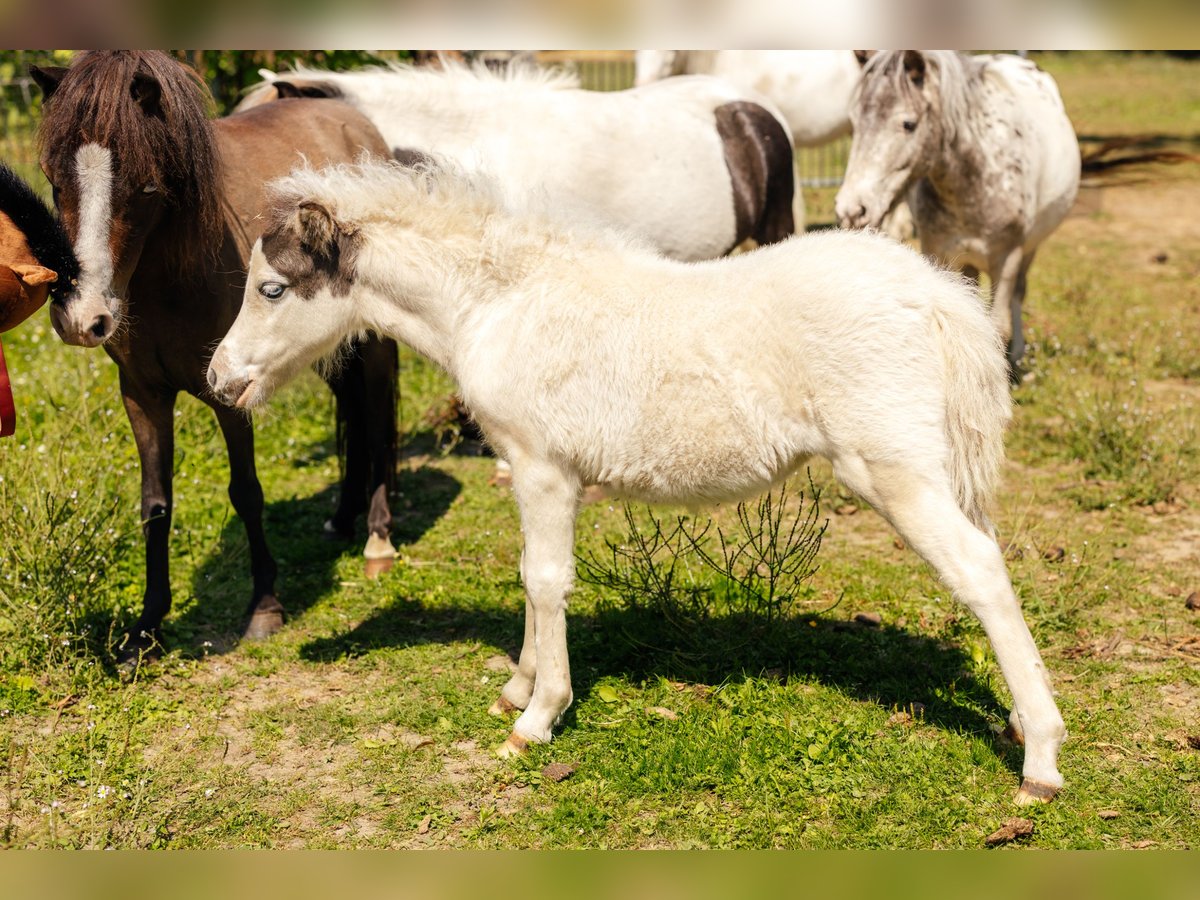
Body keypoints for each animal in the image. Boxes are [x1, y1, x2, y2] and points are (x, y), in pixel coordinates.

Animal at [32, 51, 398, 660]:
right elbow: (155, 505)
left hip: (371, 342)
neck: (167, 276)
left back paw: (377, 537)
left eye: (145, 187)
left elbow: (246, 492)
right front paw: (146, 628)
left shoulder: (228, 392)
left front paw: (265, 609)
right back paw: (342, 519)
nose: (83, 318)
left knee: (377, 415)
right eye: (54, 180)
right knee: (353, 410)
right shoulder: (142, 395)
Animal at [207, 159, 1067, 804]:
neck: (500, 303)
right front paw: (516, 688)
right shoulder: (528, 472)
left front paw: (536, 719)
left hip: (893, 473)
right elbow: (529, 575)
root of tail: (936, 295)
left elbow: (546, 581)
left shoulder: (544, 469)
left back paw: (1042, 762)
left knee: (980, 571)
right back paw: (1023, 721)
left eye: (272, 288)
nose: (218, 380)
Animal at [835, 51, 1081, 375]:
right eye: (854, 123)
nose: (852, 209)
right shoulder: (939, 255)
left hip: (1030, 248)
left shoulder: (1007, 260)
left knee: (1019, 293)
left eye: (908, 124)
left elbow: (998, 327)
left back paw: (1017, 354)